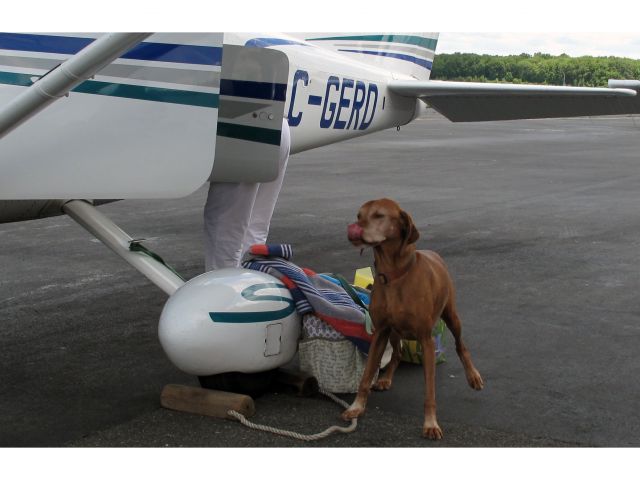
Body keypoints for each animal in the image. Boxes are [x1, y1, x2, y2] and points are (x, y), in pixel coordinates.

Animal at [342, 198, 482, 438]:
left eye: (379, 215)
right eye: (359, 215)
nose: (355, 228)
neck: (394, 275)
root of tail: (433, 253)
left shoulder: (426, 339)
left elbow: (430, 391)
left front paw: (431, 423)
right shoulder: (380, 332)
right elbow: (366, 375)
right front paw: (356, 407)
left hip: (452, 316)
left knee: (461, 345)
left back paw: (473, 377)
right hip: (394, 332)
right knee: (397, 354)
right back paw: (386, 378)